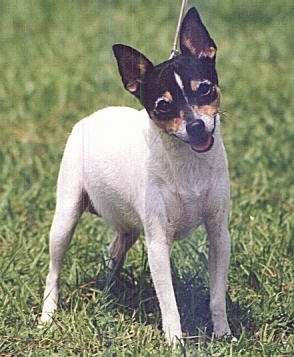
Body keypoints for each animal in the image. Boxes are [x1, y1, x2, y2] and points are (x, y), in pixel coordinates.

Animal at [41, 7, 233, 342]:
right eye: (163, 106)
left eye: (205, 89)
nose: (196, 126)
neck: (187, 164)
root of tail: (92, 117)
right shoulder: (158, 244)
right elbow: (169, 304)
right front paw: (176, 342)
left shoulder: (219, 234)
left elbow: (216, 296)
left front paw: (223, 334)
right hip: (65, 219)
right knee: (53, 271)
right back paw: (47, 316)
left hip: (127, 228)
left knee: (114, 251)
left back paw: (109, 295)